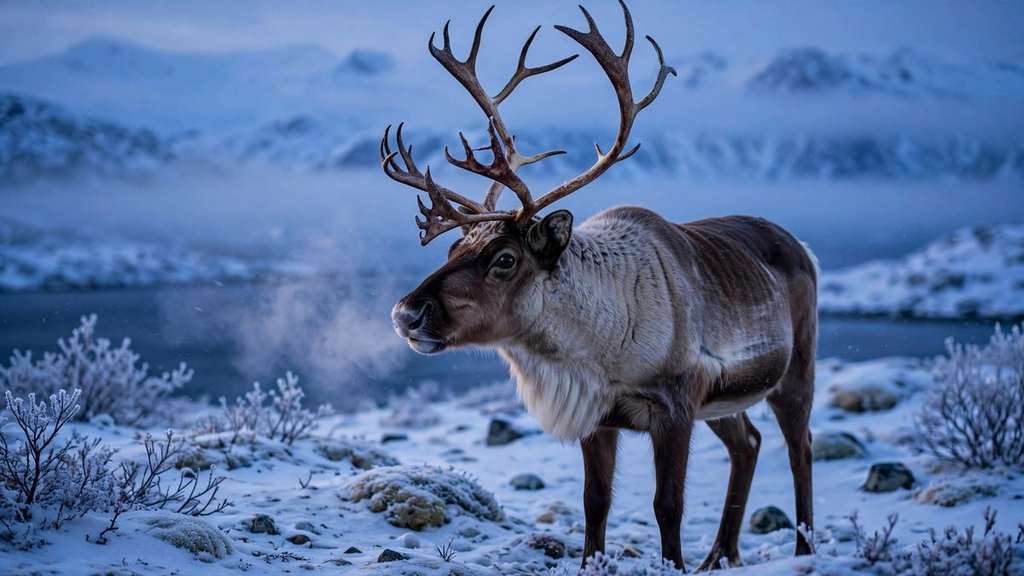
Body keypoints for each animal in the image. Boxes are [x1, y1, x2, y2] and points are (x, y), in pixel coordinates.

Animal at [381, 1, 817, 570]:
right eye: (452, 250)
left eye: (504, 259)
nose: (406, 313)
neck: (596, 347)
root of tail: (799, 244)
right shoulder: (599, 418)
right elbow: (595, 502)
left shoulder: (675, 407)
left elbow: (667, 505)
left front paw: (674, 565)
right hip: (725, 400)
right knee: (748, 442)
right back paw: (719, 555)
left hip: (796, 368)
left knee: (799, 445)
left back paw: (803, 547)